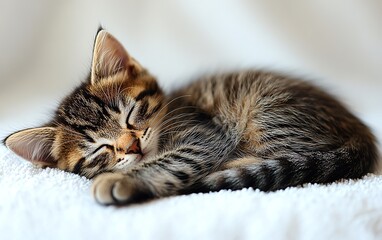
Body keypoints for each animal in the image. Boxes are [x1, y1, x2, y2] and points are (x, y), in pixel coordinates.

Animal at [3, 29, 380, 205]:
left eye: (130, 114)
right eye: (99, 150)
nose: (133, 147)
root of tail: (359, 130)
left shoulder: (206, 136)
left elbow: (172, 160)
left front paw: (120, 180)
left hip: (268, 112)